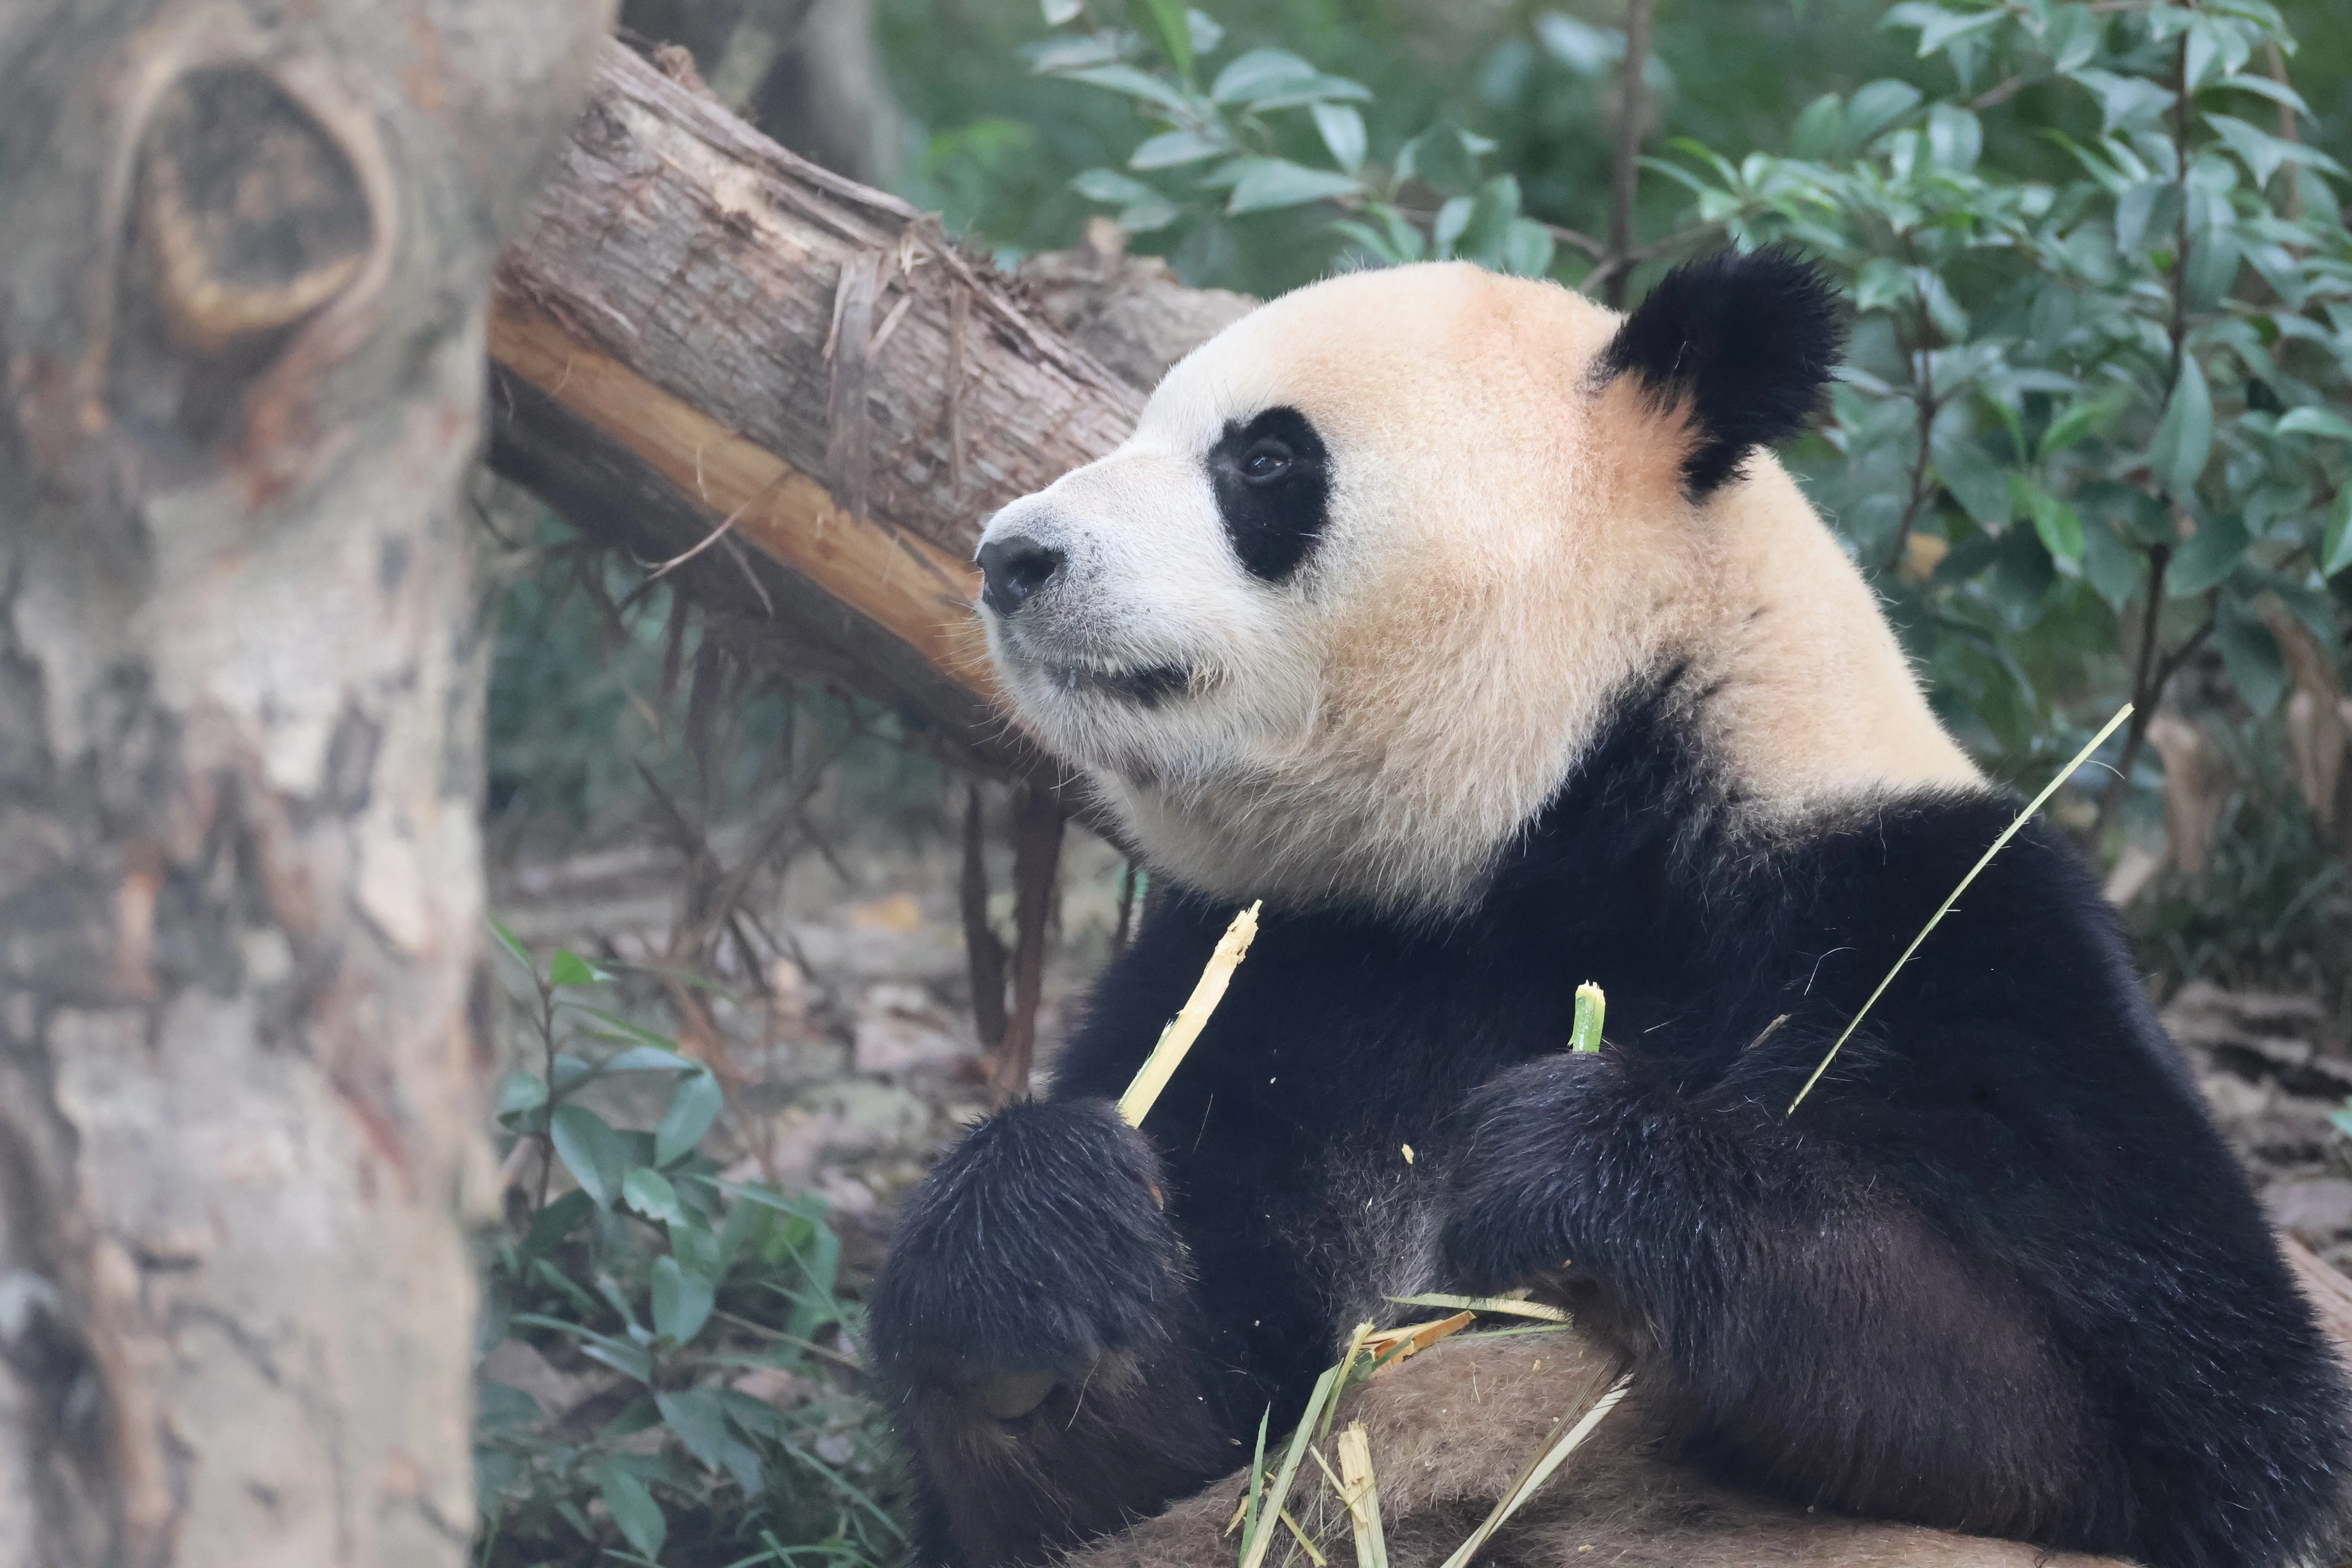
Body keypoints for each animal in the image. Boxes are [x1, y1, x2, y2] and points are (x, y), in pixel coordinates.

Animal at [866, 247, 2351, 1568]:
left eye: (1266, 461)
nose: (1012, 557)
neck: (1557, 837)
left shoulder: (1940, 932)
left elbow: (2181, 1431)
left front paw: (1578, 1173)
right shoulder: (1276, 969)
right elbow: (1144, 1473)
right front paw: (1043, 1243)